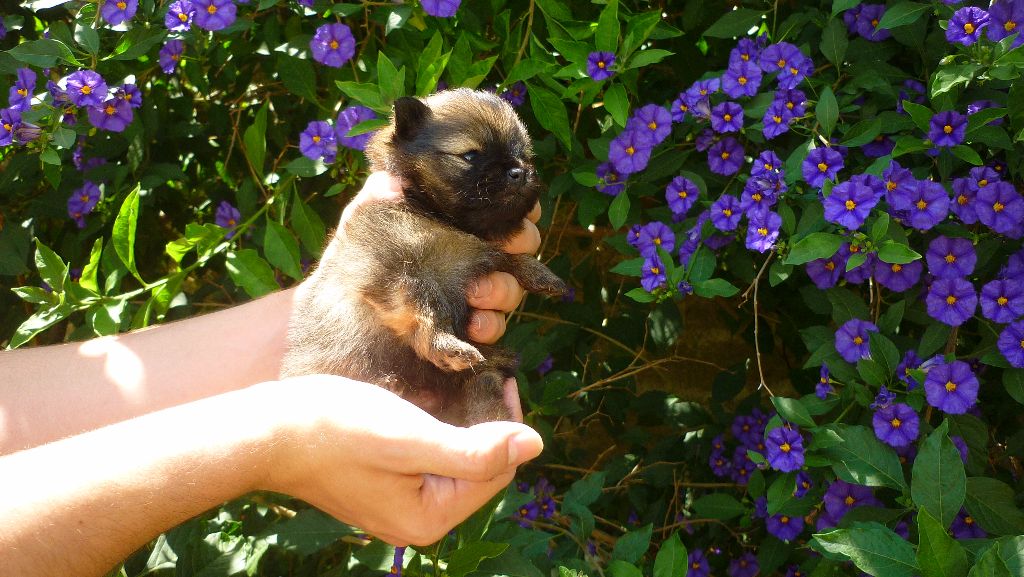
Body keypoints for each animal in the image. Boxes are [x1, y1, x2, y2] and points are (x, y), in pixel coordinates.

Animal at [280, 88, 569, 426]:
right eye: (471, 155)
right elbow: (426, 310)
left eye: (523, 154)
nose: (518, 172)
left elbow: (506, 257)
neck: (438, 218)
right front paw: (444, 345)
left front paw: (539, 273)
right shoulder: (398, 268)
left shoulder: (475, 254)